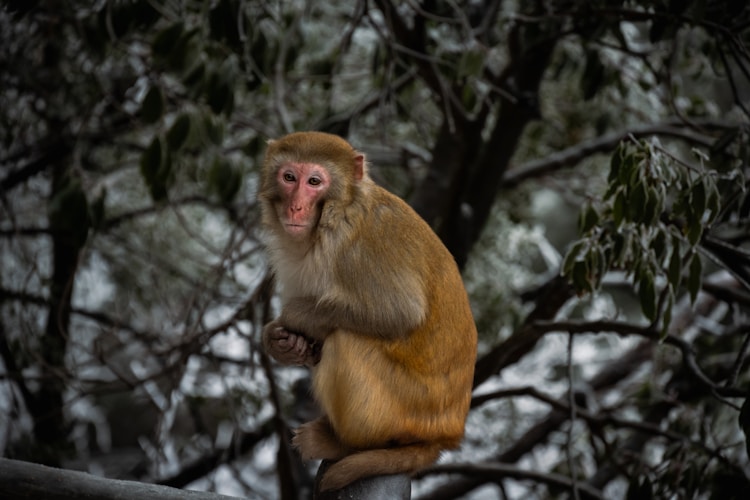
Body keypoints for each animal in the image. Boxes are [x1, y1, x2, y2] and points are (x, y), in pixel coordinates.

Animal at [258, 130, 476, 492]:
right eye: (289, 177)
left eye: (314, 181)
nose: (295, 206)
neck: (334, 214)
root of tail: (446, 433)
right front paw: (282, 342)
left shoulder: (359, 249)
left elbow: (400, 313)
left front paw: (294, 317)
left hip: (405, 410)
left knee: (347, 340)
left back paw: (345, 443)